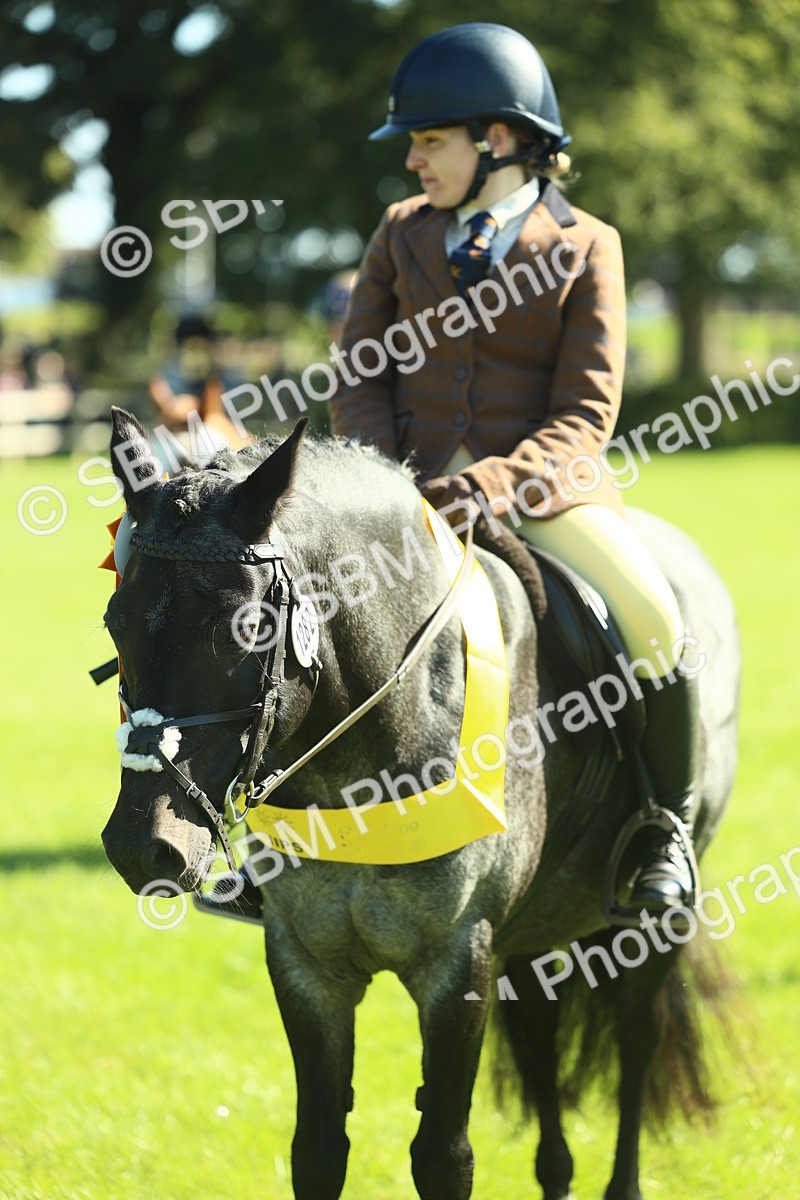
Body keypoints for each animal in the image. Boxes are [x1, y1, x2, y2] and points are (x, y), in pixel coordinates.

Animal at [101, 407, 740, 1200]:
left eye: (242, 630)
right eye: (114, 624)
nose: (141, 847)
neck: (357, 771)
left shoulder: (455, 960)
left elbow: (443, 1154)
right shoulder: (306, 963)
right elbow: (317, 1148)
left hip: (652, 920)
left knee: (637, 1037)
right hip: (531, 932)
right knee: (541, 1035)